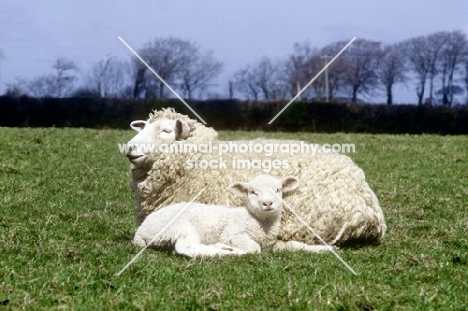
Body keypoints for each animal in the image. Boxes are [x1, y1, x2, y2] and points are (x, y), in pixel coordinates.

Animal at [133, 174, 334, 258]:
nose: (268, 203)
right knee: (185, 247)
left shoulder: (272, 244)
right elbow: (254, 248)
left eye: (278, 190)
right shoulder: (233, 233)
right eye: (253, 192)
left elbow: (295, 245)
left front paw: (326, 248)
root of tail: (140, 231)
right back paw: (227, 251)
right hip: (179, 226)